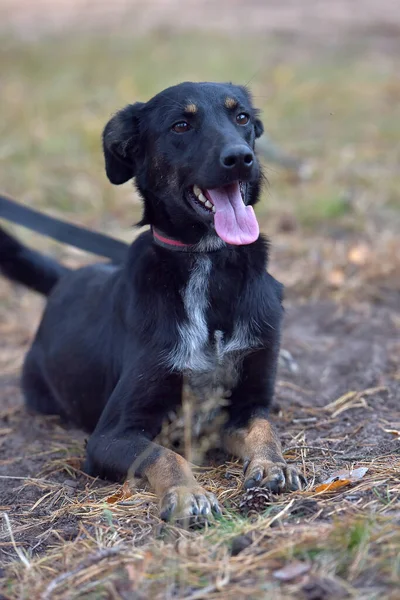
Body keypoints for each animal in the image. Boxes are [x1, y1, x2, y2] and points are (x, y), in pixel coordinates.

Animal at [0, 81, 304, 520]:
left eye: (241, 117)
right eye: (181, 125)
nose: (240, 158)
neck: (206, 259)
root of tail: (68, 277)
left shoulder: (248, 404)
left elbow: (266, 429)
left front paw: (271, 464)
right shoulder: (110, 435)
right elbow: (162, 454)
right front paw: (187, 492)